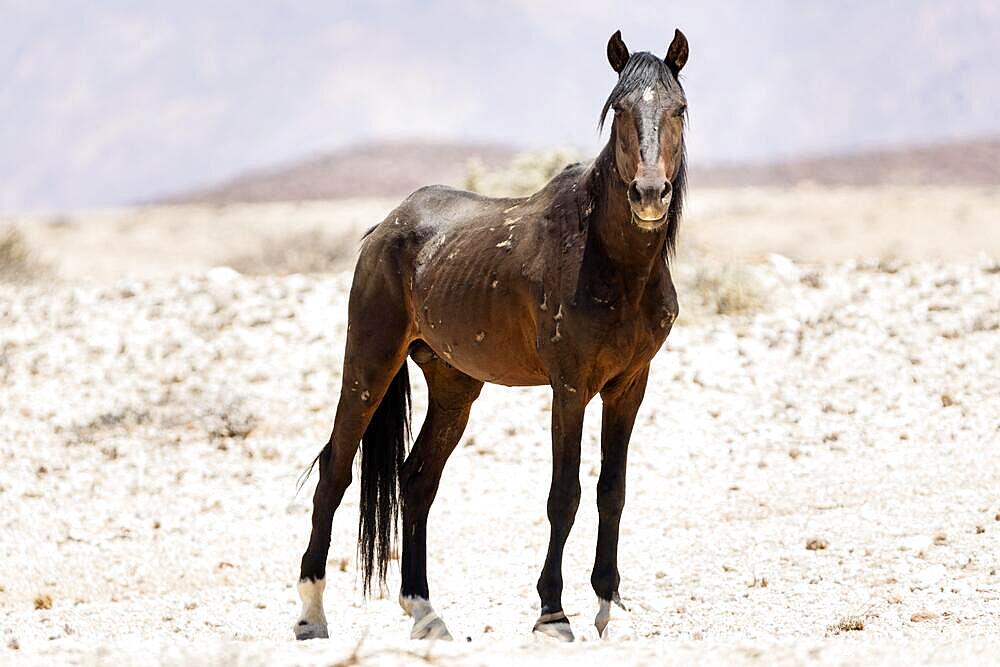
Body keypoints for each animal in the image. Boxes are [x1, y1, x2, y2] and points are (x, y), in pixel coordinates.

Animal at [292, 30, 692, 640]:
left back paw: (425, 611)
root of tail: (384, 229)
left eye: (679, 109)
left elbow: (613, 491)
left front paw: (607, 606)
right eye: (619, 109)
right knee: (334, 473)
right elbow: (565, 494)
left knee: (416, 481)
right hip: (368, 364)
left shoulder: (629, 386)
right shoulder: (570, 388)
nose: (650, 194)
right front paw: (552, 612)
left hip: (454, 386)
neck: (609, 263)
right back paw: (312, 615)